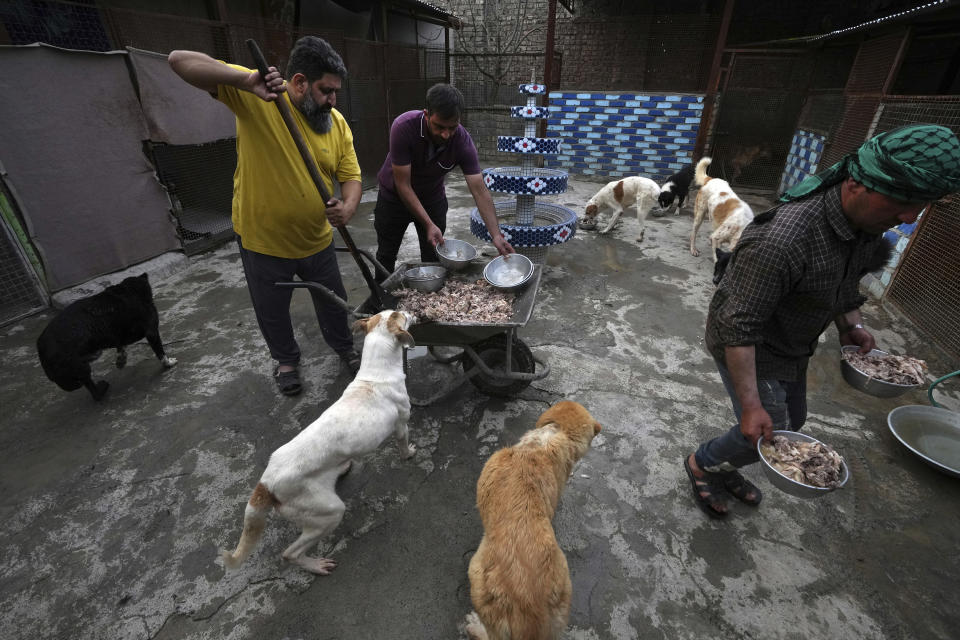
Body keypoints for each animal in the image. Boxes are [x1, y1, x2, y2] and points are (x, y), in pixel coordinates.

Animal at [37, 274, 176, 400]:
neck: (129, 289)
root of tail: (41, 351)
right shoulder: (152, 331)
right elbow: (161, 353)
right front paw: (168, 363)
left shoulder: (119, 334)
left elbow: (121, 345)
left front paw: (121, 360)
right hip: (79, 369)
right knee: (93, 392)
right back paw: (102, 387)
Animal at [221, 310, 416, 576]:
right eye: (401, 315)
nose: (410, 311)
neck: (375, 375)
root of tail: (266, 483)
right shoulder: (401, 425)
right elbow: (403, 445)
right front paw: (410, 454)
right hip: (330, 512)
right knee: (290, 553)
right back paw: (314, 565)